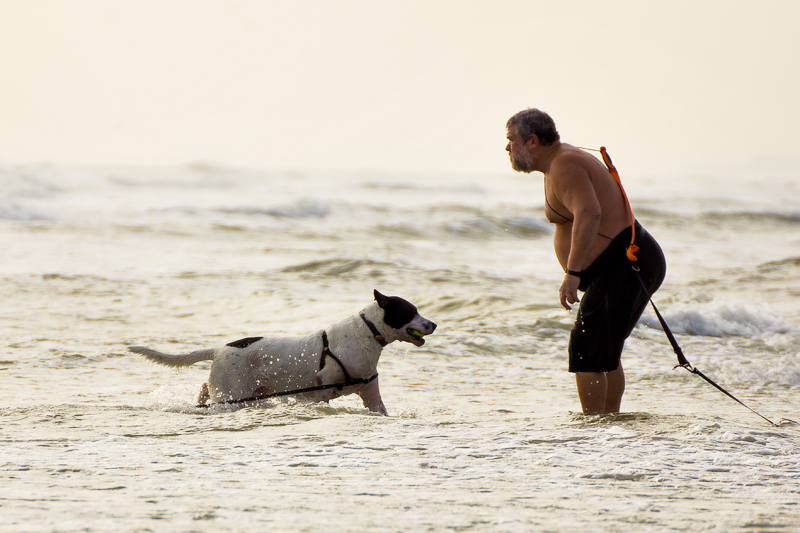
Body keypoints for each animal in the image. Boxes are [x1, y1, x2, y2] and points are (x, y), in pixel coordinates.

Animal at [129, 288, 438, 414]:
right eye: (410, 311)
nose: (433, 324)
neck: (367, 333)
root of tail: (218, 350)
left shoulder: (371, 394)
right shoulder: (322, 390)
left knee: (205, 388)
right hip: (233, 393)